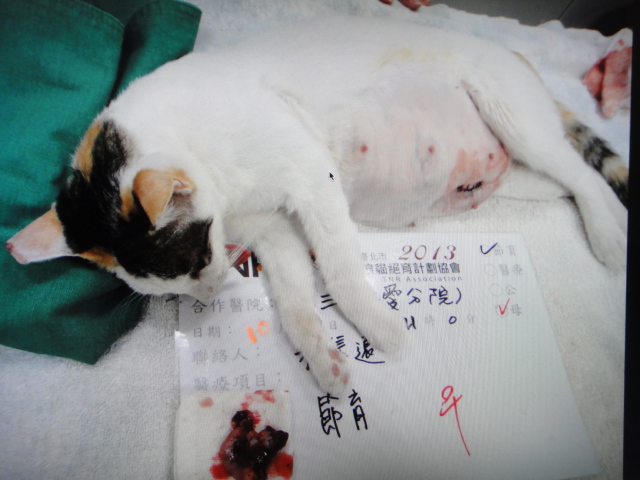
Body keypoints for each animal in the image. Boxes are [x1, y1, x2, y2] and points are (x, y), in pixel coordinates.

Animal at [6, 16, 628, 393]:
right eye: (180, 286)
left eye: (200, 259)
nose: (212, 292)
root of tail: (514, 53)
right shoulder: (272, 227)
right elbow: (293, 298)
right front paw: (321, 357)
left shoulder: (311, 175)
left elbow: (339, 266)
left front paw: (381, 328)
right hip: (519, 172)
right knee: (567, 182)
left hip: (514, 117)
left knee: (585, 176)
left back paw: (610, 236)